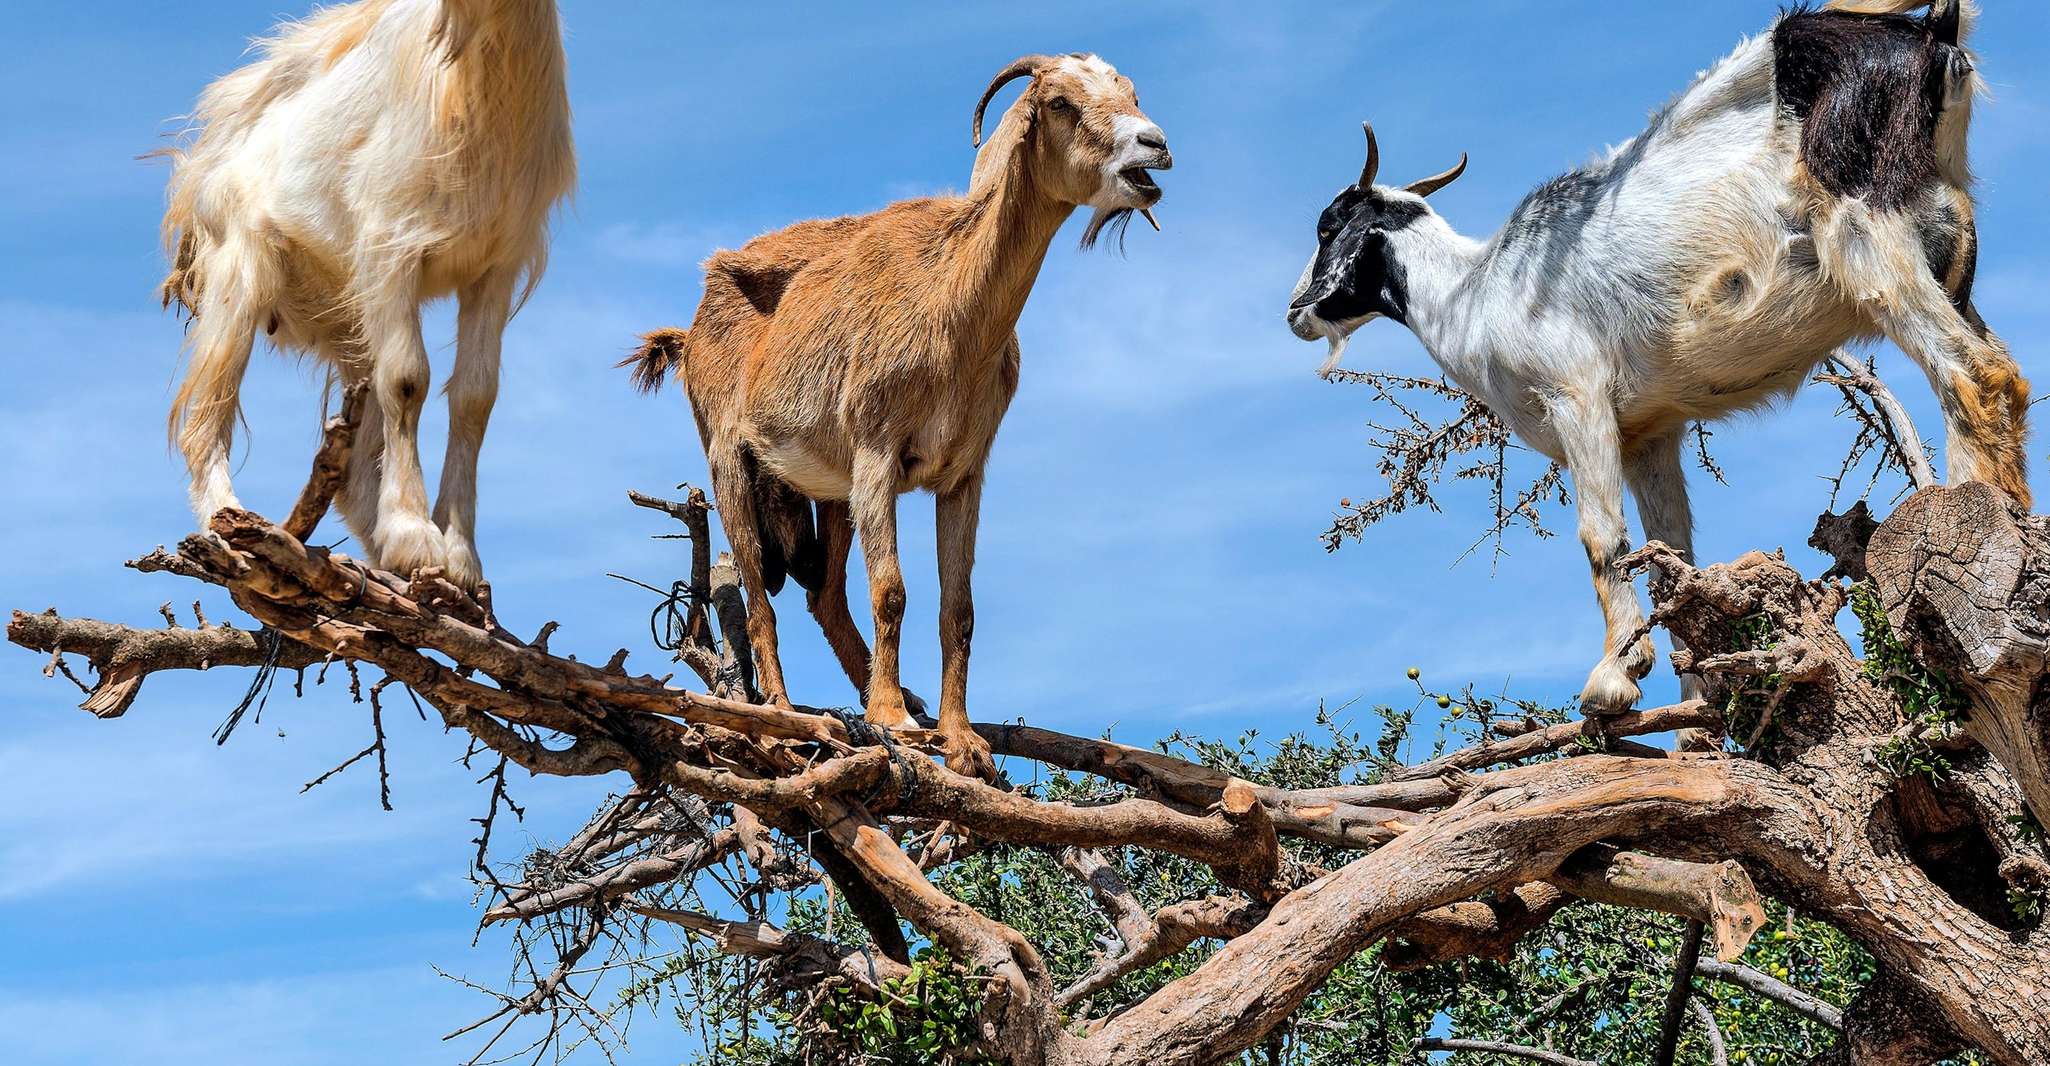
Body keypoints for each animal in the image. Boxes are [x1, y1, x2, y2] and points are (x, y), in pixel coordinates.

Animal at [161, 0, 575, 588]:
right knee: (205, 417)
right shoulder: (390, 247)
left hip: (349, 321)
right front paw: (414, 539)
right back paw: (230, 528)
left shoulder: (496, 267)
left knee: (354, 473)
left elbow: (475, 396)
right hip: (238, 276)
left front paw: (460, 559)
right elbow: (408, 379)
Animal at [626, 54, 1171, 775]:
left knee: (824, 596)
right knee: (759, 602)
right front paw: (892, 720)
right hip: (730, 467)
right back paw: (782, 720)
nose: (1154, 146)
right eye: (1058, 102)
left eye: (1131, 92)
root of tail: (688, 333)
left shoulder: (963, 474)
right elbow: (891, 590)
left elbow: (958, 607)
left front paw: (960, 738)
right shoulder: (877, 455)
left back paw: (888, 699)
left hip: (827, 489)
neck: (949, 307)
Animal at [1287, 0, 2029, 716]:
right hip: (1948, 247)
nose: (1297, 309)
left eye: (1328, 226)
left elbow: (1601, 535)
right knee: (2000, 377)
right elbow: (1672, 552)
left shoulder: (1576, 394)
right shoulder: (1650, 430)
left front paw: (1615, 677)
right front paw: (1699, 711)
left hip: (1866, 228)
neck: (1476, 289)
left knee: (1975, 374)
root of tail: (1933, 34)